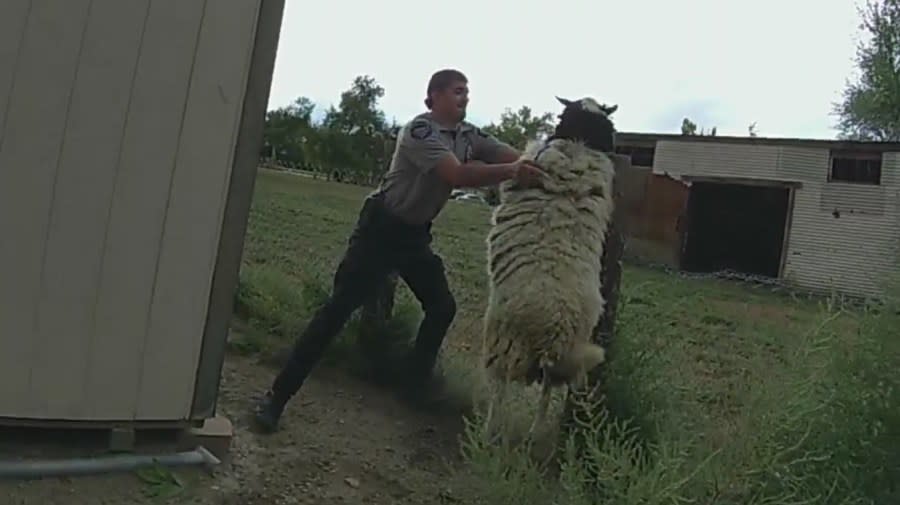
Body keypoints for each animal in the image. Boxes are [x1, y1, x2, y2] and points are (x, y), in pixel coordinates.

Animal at [478, 96, 620, 436]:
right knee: (546, 391)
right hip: (561, 359)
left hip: (503, 342)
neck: (581, 144)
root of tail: (557, 329)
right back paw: (535, 433)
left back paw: (488, 430)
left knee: (500, 386)